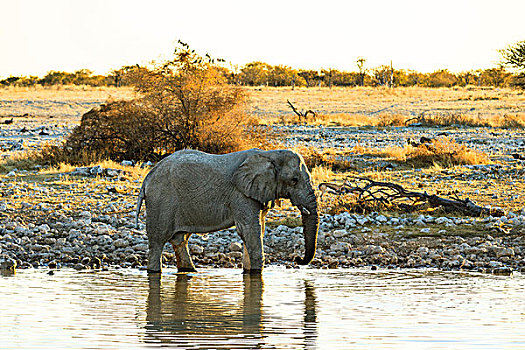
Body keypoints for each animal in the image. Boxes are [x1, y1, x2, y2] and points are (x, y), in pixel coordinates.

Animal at [134, 148, 320, 274]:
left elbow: (257, 230)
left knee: (180, 240)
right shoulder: (241, 194)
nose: (297, 259)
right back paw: (155, 271)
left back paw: (190, 271)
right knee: (158, 241)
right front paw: (256, 274)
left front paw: (249, 273)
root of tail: (147, 178)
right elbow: (249, 230)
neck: (270, 154)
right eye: (294, 180)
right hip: (161, 200)